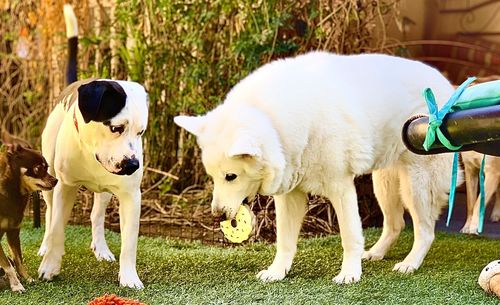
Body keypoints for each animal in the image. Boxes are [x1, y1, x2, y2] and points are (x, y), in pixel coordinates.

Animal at [37, 78, 147, 288]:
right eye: (115, 128)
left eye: (141, 132)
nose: (132, 165)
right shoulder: (65, 187)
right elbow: (57, 229)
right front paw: (49, 267)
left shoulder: (130, 196)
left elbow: (129, 242)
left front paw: (129, 278)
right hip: (48, 177)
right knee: (49, 212)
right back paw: (45, 246)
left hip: (105, 192)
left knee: (97, 214)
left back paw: (102, 249)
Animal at [175, 51, 460, 282]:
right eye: (213, 177)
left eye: (231, 176)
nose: (217, 216)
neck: (274, 122)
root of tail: (446, 84)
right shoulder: (289, 196)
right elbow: (284, 241)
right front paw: (277, 272)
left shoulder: (341, 189)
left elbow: (349, 236)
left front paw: (349, 274)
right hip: (385, 184)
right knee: (395, 224)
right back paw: (376, 253)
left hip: (416, 186)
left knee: (425, 231)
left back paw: (410, 263)